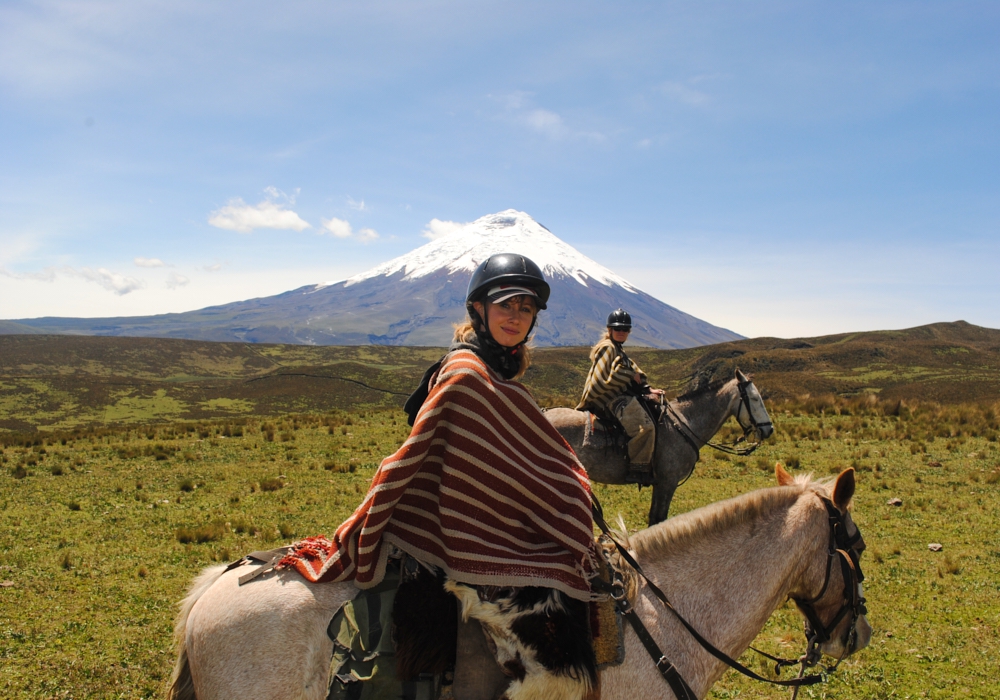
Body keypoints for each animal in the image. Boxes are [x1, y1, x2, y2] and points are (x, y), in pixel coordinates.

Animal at [548, 370, 772, 524]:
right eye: (755, 398)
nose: (769, 429)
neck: (683, 424)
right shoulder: (667, 482)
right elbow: (658, 518)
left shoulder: (660, 484)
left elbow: (654, 517)